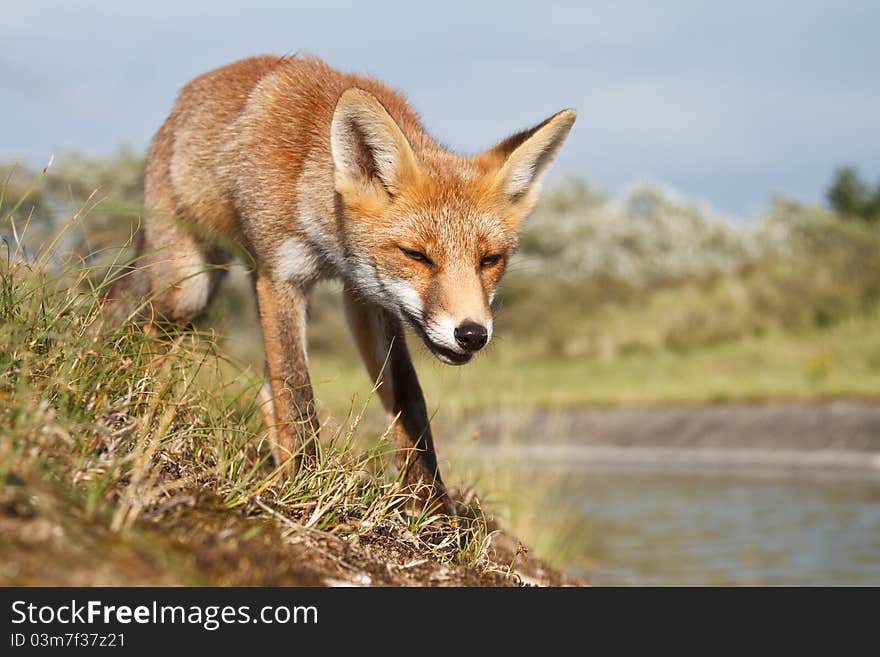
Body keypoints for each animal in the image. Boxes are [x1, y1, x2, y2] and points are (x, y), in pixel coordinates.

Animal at [108, 53, 576, 510]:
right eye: (417, 256)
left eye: (489, 260)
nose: (472, 334)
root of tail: (181, 102)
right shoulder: (281, 276)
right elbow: (297, 393)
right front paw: (305, 485)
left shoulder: (367, 297)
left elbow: (408, 397)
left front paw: (432, 503)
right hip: (188, 289)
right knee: (150, 335)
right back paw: (141, 406)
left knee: (265, 391)